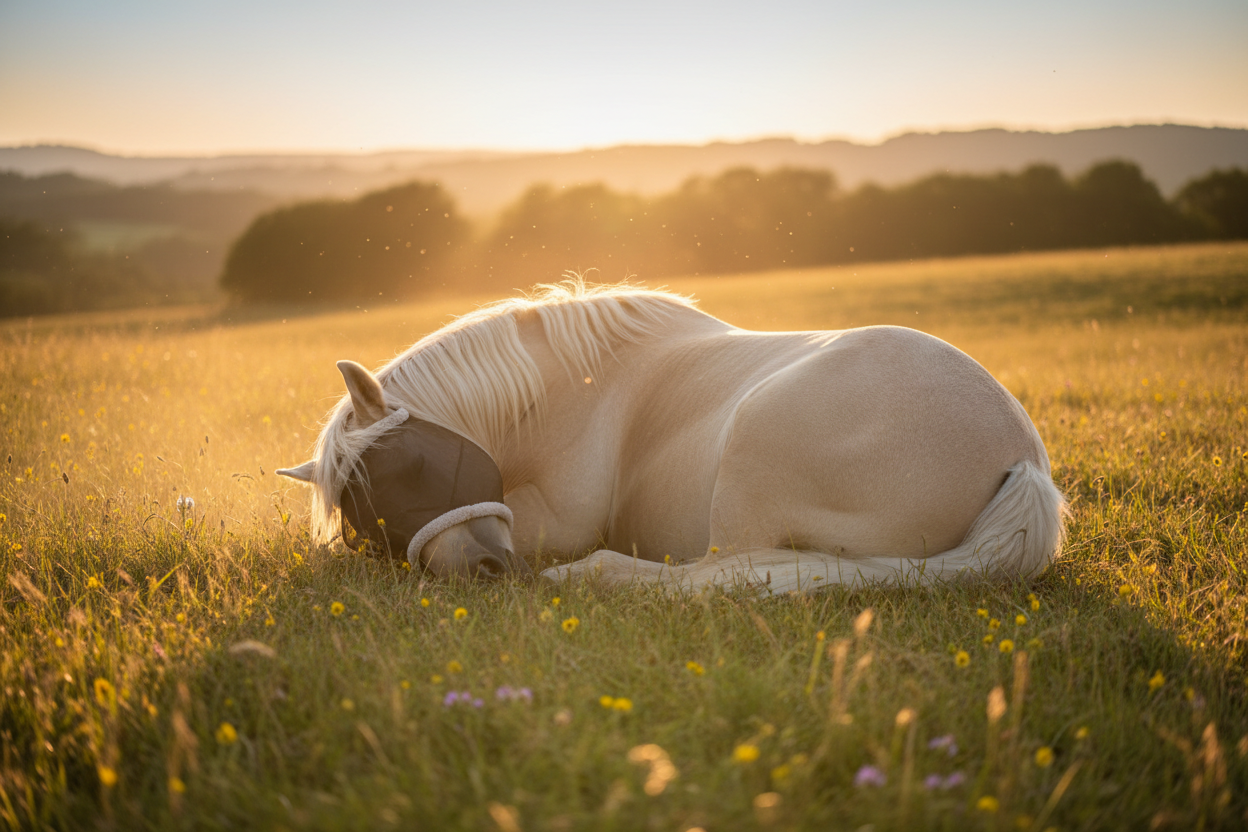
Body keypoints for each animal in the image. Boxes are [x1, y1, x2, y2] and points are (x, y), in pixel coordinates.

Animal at [277, 281, 1066, 592]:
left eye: (411, 467)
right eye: (361, 515)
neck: (576, 387)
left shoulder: (551, 521)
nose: (483, 570)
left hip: (749, 457)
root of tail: (1021, 461)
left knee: (716, 576)